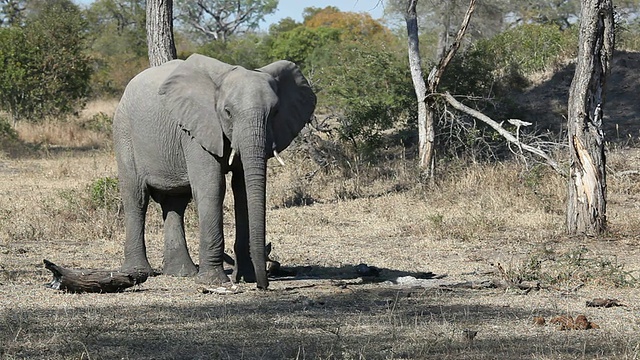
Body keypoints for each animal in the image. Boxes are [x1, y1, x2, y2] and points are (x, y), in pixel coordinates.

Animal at [114, 54, 318, 290]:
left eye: (275, 112)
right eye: (228, 112)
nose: (263, 285)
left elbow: (242, 191)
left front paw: (246, 278)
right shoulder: (196, 130)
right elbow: (212, 187)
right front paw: (213, 281)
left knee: (175, 203)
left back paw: (182, 273)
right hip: (123, 132)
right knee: (136, 197)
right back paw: (138, 273)